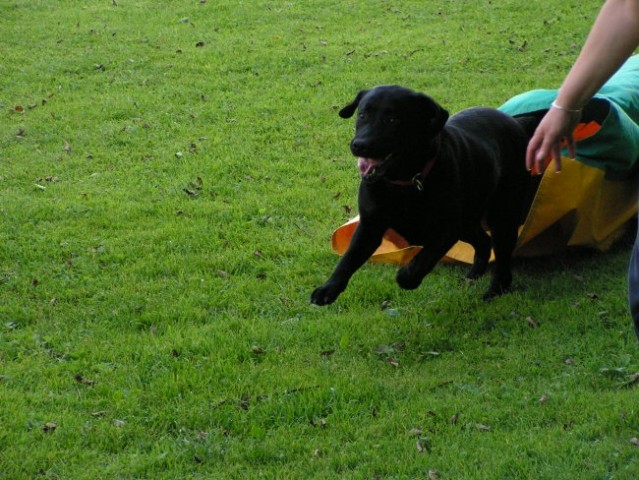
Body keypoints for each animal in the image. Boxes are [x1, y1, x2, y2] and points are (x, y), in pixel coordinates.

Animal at [312, 85, 536, 304]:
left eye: (392, 120)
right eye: (362, 115)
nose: (359, 144)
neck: (404, 182)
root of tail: (515, 122)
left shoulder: (446, 229)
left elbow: (425, 257)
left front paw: (407, 277)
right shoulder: (370, 225)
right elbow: (348, 258)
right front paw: (327, 289)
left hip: (501, 216)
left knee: (502, 258)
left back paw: (495, 290)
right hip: (468, 224)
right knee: (483, 241)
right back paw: (473, 275)